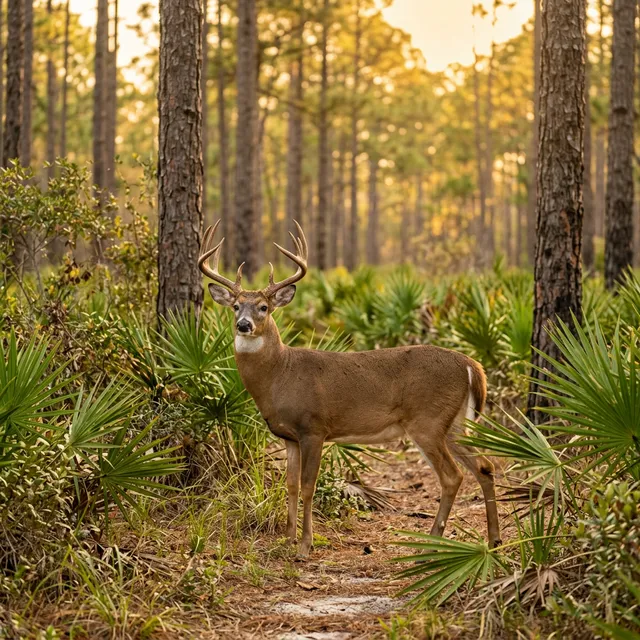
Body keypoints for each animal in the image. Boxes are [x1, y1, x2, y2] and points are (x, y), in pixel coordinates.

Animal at [198, 221, 501, 557]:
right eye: (236, 306)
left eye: (264, 307)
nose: (244, 325)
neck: (280, 374)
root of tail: (472, 365)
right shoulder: (288, 436)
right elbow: (290, 485)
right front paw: (287, 539)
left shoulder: (314, 428)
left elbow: (308, 486)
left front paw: (305, 546)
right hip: (456, 423)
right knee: (484, 466)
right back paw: (493, 540)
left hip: (428, 421)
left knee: (452, 476)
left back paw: (431, 542)